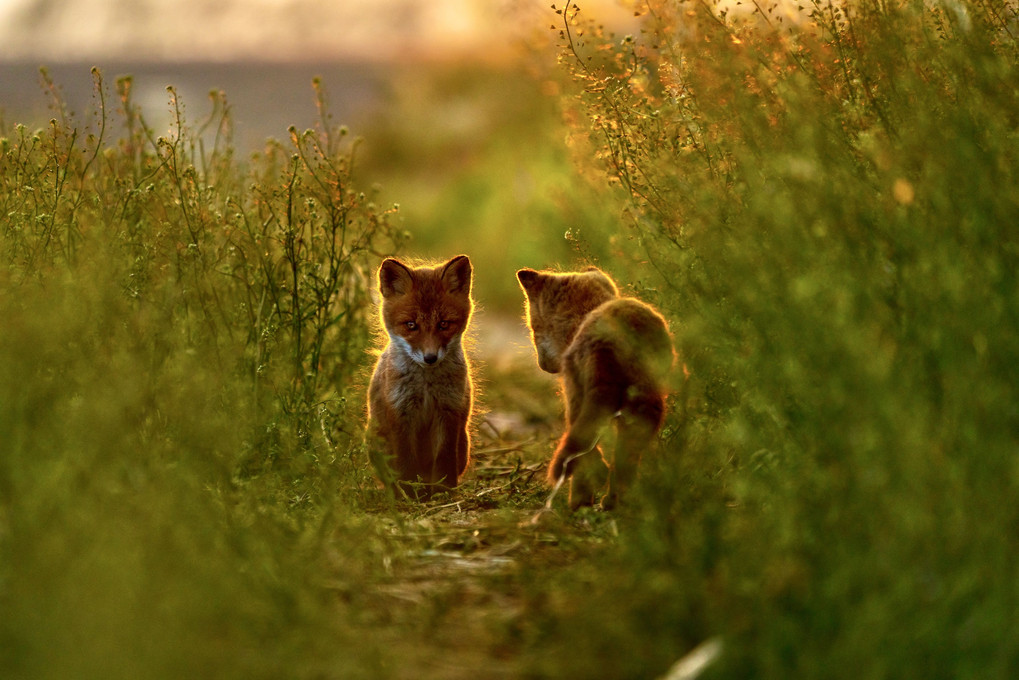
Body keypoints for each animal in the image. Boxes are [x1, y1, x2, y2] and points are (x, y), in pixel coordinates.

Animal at [368, 254, 474, 499]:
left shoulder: (449, 410)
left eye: (443, 324)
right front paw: (409, 494)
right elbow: (405, 462)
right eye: (411, 325)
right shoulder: (401, 411)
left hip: (464, 444)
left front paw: (444, 492)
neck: (426, 385)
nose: (430, 358)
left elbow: (444, 459)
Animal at [517, 265, 676, 509]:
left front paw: (582, 495)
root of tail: (611, 336)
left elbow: (581, 445)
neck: (583, 315)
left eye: (532, 327)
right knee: (626, 459)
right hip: (645, 406)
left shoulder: (575, 396)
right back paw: (615, 502)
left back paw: (580, 504)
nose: (542, 364)